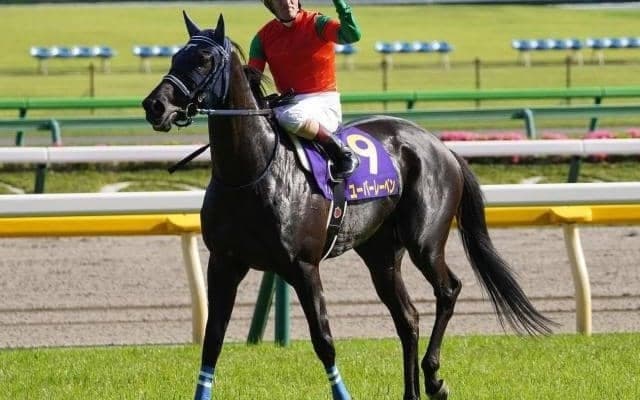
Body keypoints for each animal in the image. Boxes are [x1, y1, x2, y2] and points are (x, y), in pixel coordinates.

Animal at [142, 12, 552, 400]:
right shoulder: (224, 262)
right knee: (407, 317)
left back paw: (434, 378)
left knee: (448, 290)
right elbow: (212, 340)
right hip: (381, 253)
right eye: (176, 56)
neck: (252, 171)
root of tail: (441, 146)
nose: (154, 105)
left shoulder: (303, 266)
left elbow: (324, 341)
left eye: (204, 59)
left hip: (425, 241)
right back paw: (412, 390)